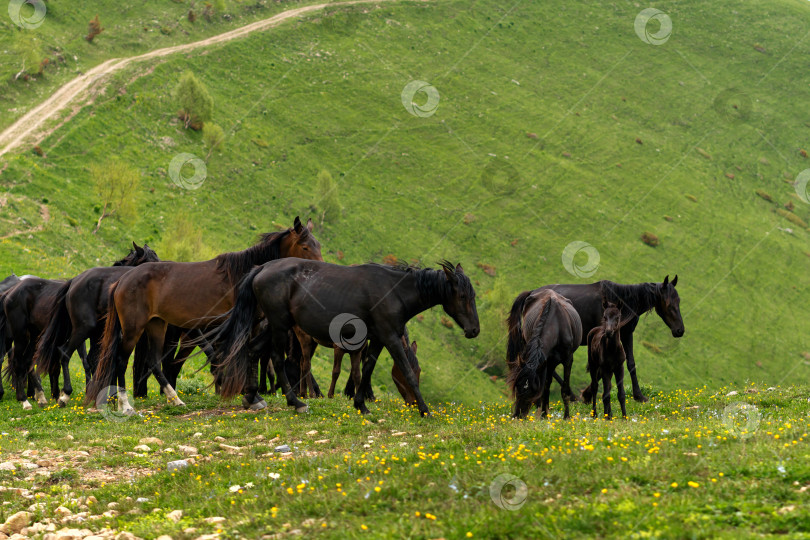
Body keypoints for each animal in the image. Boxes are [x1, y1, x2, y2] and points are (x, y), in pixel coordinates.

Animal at [85, 217, 318, 416]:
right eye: (305, 247)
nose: (316, 270)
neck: (243, 275)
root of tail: (122, 281)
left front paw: (252, 396)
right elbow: (236, 356)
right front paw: (250, 395)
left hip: (156, 325)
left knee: (153, 361)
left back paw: (174, 399)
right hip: (134, 328)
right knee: (121, 359)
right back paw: (125, 405)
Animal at [205, 260, 476, 416]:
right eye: (462, 296)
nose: (474, 330)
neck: (394, 291)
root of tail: (262, 268)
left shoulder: (376, 340)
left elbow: (365, 371)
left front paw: (361, 405)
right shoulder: (389, 337)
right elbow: (403, 371)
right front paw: (425, 410)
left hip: (273, 326)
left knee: (252, 351)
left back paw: (252, 397)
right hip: (280, 326)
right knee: (277, 360)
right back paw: (296, 402)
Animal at [504, 288, 580, 420]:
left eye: (532, 391)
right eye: (517, 388)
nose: (517, 416)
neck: (556, 325)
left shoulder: (567, 360)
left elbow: (564, 389)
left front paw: (566, 417)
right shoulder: (545, 361)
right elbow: (545, 388)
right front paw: (544, 415)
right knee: (547, 385)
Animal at [540, 276, 684, 402]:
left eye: (679, 301)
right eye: (668, 304)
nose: (680, 330)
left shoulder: (626, 335)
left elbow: (631, 363)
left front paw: (639, 396)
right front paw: (587, 394)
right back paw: (571, 396)